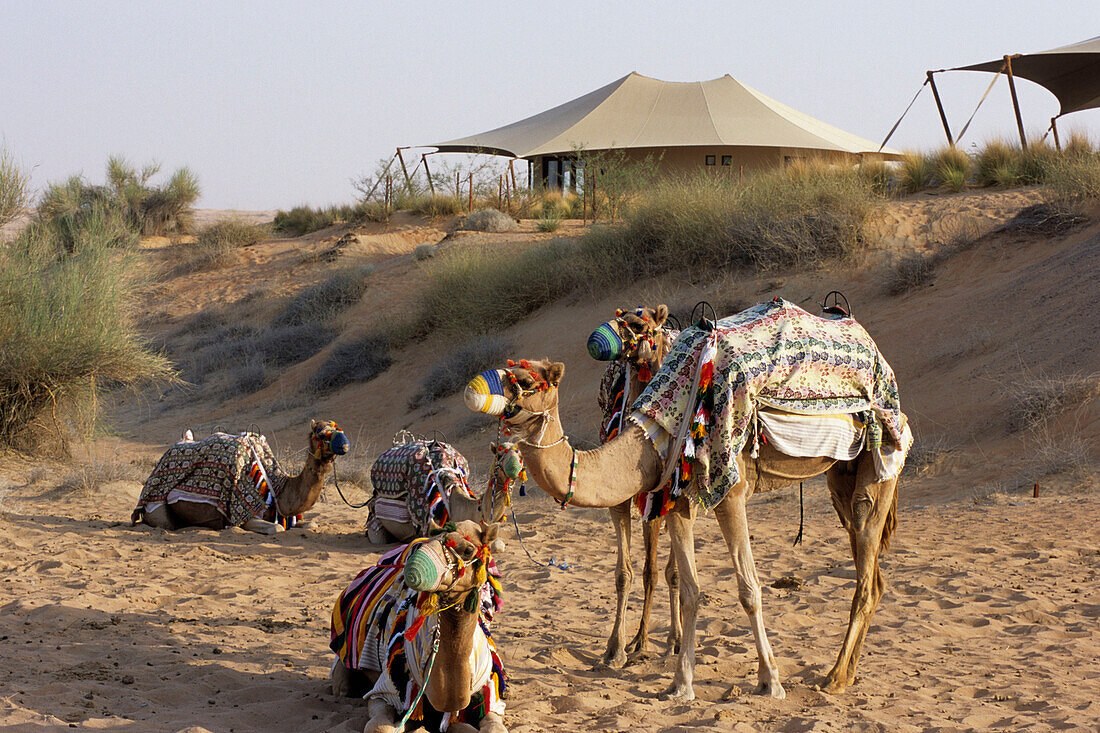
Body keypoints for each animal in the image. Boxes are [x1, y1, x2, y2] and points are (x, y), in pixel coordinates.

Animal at [132, 420, 347, 534]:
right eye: (320, 434)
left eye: (337, 429)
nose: (344, 445)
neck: (278, 487)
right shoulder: (248, 516)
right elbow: (277, 528)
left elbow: (312, 523)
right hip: (156, 509)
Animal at [330, 517, 510, 730]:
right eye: (431, 538)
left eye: (468, 550)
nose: (415, 567)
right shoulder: (386, 689)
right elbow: (380, 726)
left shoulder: (490, 695)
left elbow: (493, 726)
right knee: (342, 685)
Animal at [589, 305, 682, 664]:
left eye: (641, 325)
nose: (601, 339)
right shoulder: (618, 499)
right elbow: (623, 574)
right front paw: (615, 647)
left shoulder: (656, 499)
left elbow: (653, 572)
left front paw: (646, 641)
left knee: (670, 571)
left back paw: (673, 639)